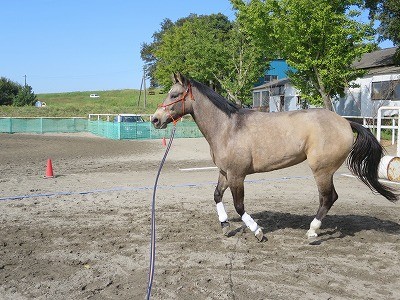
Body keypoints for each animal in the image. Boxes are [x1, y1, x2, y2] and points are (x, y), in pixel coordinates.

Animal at [152, 72, 396, 241]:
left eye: (174, 94)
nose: (155, 119)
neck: (228, 127)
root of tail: (346, 122)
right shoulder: (225, 172)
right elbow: (217, 196)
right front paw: (225, 226)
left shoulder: (237, 175)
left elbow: (239, 206)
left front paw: (257, 231)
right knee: (328, 199)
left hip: (322, 170)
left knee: (328, 198)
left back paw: (312, 232)